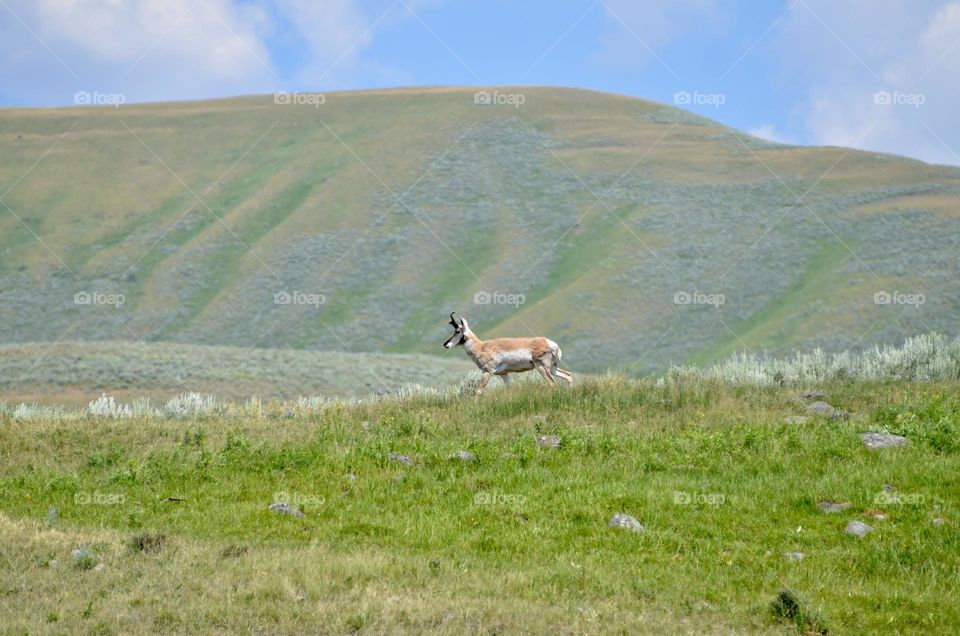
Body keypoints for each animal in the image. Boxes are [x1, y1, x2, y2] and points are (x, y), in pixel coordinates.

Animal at [443, 312, 573, 395]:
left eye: (457, 331)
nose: (445, 344)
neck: (481, 347)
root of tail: (550, 343)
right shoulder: (504, 374)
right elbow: (509, 388)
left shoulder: (487, 372)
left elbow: (478, 391)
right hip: (552, 368)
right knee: (568, 376)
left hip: (542, 368)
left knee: (552, 383)